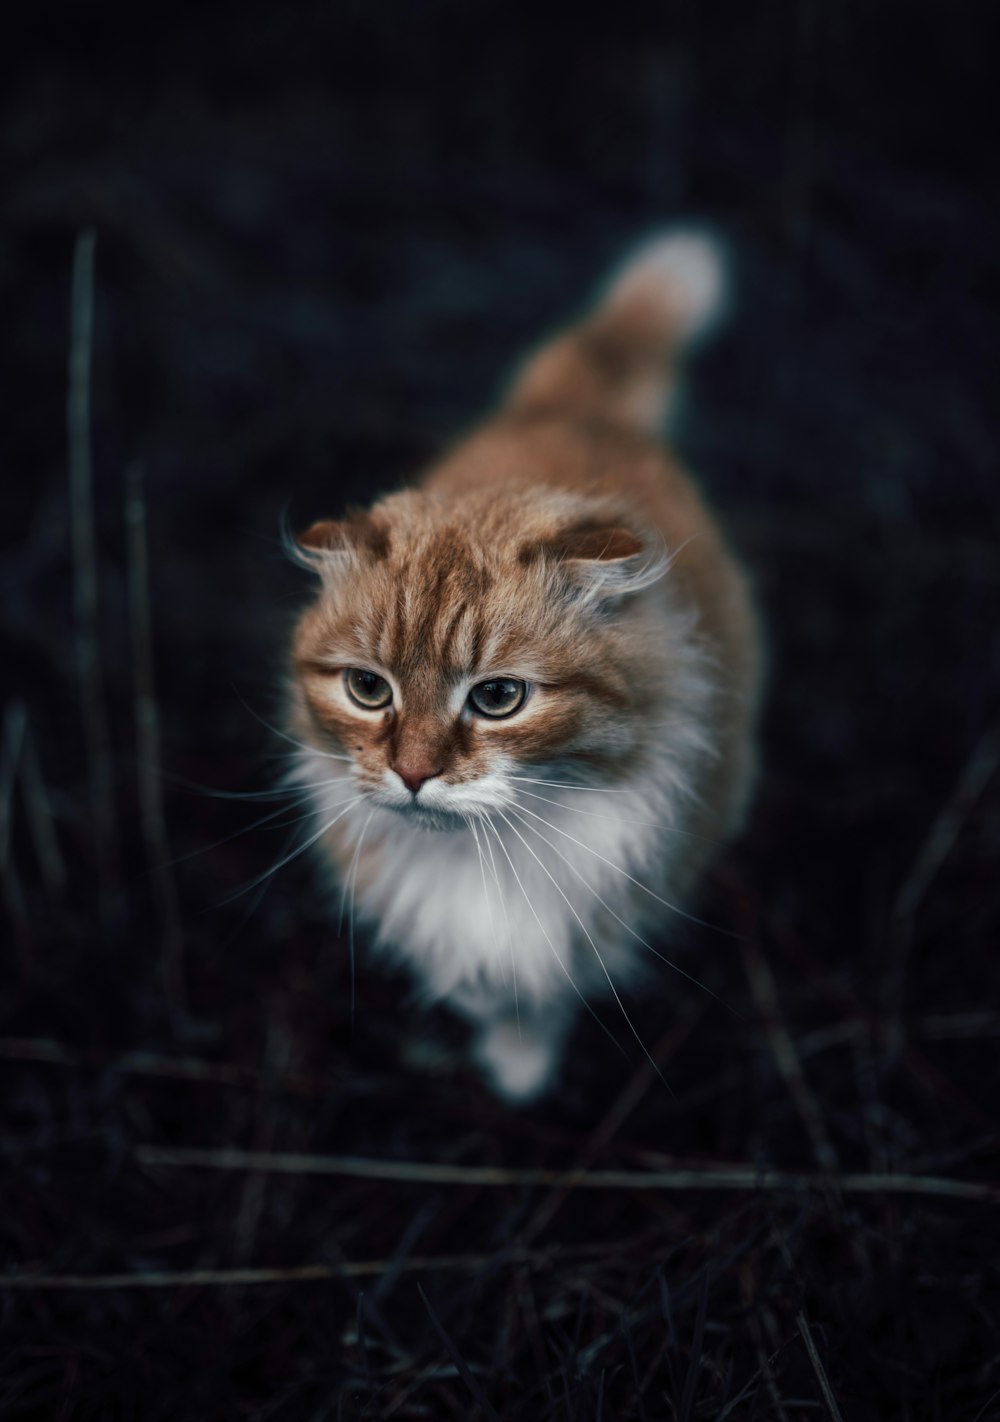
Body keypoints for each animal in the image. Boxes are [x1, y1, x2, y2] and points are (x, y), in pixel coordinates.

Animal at [285, 230, 762, 1097]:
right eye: (369, 689)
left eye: (499, 698)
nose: (411, 775)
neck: (484, 855)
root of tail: (577, 411)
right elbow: (473, 978)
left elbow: (538, 994)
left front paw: (518, 1069)